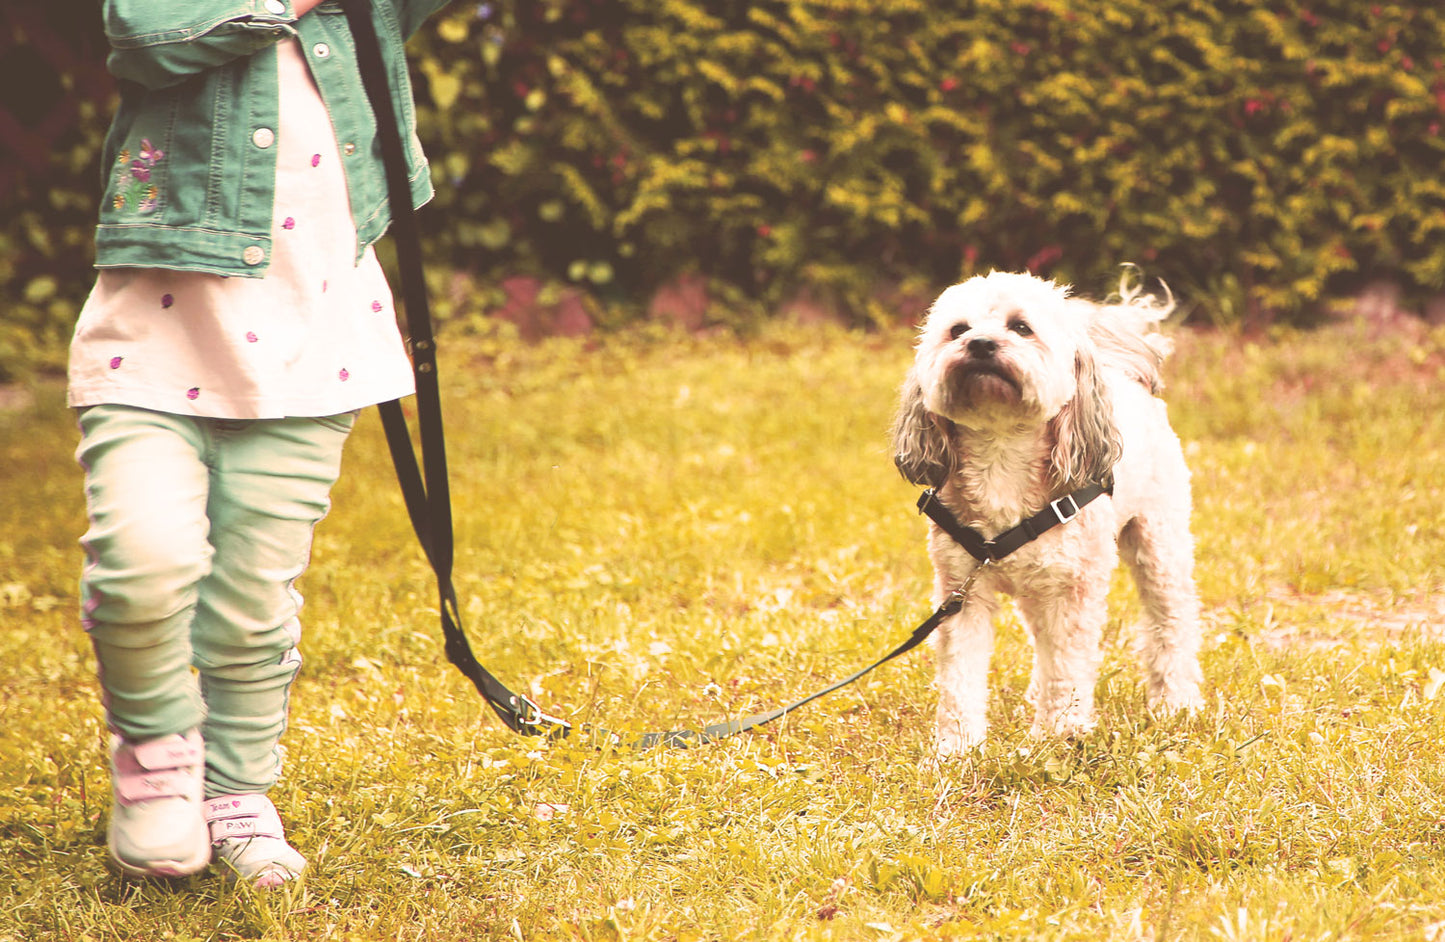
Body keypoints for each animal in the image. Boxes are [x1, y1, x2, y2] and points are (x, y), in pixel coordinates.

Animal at [890, 268, 1208, 757]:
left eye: (1021, 327)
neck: (1002, 456)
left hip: (1159, 543)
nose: (980, 344)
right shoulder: (962, 593)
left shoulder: (1073, 592)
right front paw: (957, 749)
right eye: (957, 330)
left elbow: (1067, 666)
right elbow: (960, 676)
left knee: (1171, 621)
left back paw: (1177, 702)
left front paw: (1061, 736)